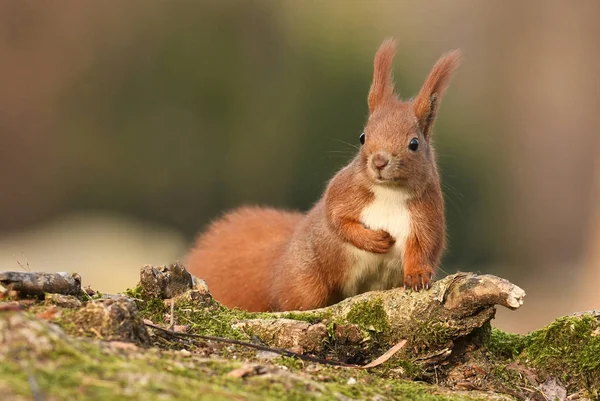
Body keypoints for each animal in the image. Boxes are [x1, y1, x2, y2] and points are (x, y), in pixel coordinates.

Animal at [185, 37, 462, 310]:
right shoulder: (342, 191)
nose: (379, 161)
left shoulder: (427, 214)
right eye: (363, 137)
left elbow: (424, 246)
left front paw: (418, 274)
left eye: (414, 144)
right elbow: (336, 220)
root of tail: (279, 262)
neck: (389, 192)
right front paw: (373, 240)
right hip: (307, 280)